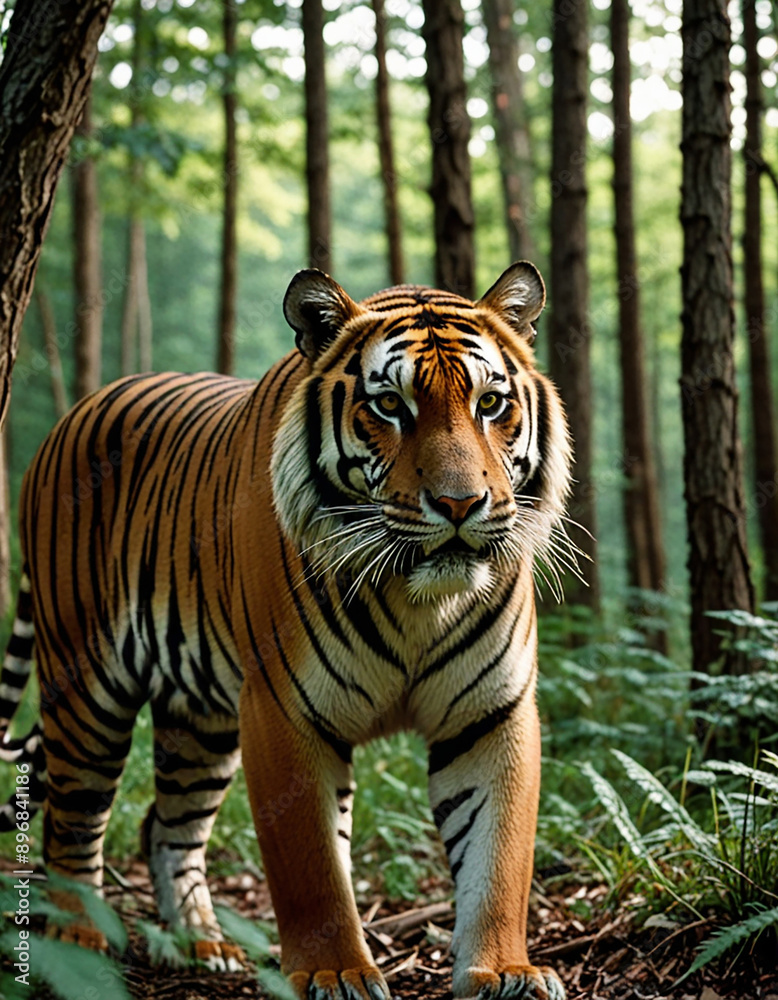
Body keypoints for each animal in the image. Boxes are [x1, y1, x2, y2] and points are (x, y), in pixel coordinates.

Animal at [0, 262, 572, 1000]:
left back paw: (203, 944)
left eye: (491, 403)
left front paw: (505, 971)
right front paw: (337, 972)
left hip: (200, 718)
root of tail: (71, 416)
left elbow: (499, 857)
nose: (459, 504)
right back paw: (78, 941)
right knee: (73, 820)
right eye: (391, 406)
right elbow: (311, 865)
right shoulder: (282, 709)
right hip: (86, 686)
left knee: (168, 824)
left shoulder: (491, 712)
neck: (417, 599)